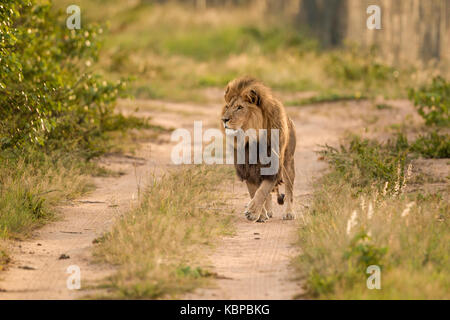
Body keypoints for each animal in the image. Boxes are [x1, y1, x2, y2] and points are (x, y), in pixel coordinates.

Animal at [221, 76, 298, 221]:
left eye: (240, 107)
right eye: (227, 107)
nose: (224, 119)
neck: (251, 138)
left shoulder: (273, 165)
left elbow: (263, 190)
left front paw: (252, 212)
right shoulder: (247, 168)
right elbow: (254, 191)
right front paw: (260, 214)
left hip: (288, 162)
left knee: (289, 189)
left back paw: (289, 213)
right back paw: (268, 212)